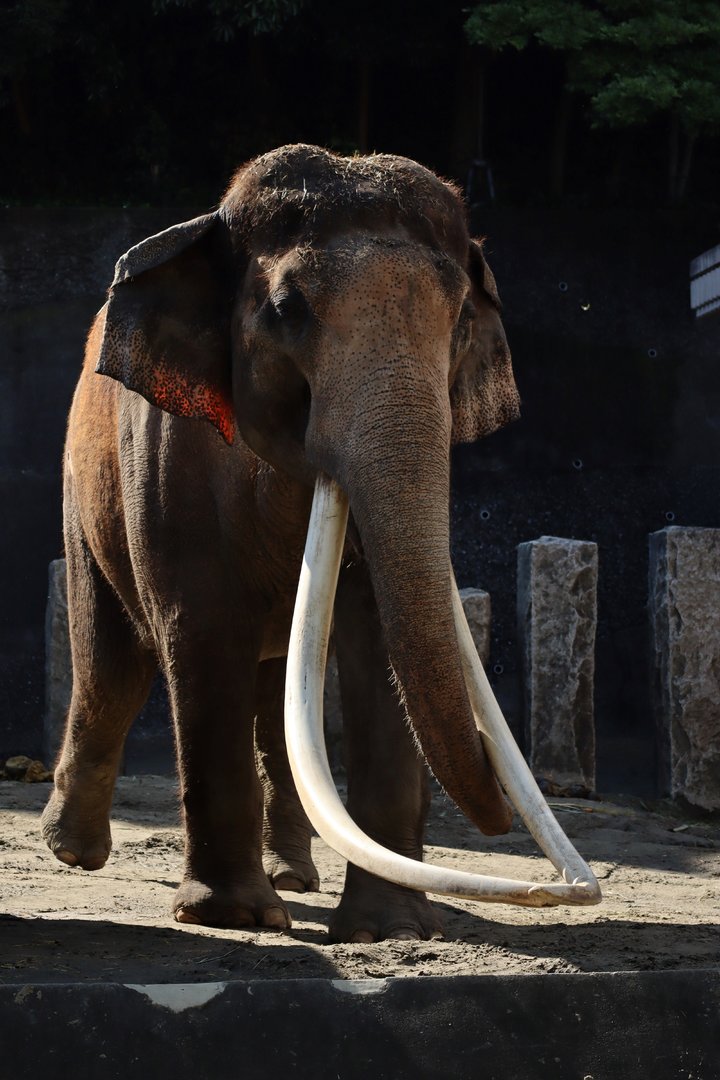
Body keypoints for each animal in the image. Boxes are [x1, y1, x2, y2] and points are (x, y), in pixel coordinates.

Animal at [41, 143, 522, 943]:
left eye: (458, 317)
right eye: (287, 310)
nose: (506, 821)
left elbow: (377, 644)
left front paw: (389, 929)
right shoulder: (172, 462)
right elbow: (200, 633)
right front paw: (234, 917)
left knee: (273, 691)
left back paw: (294, 876)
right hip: (82, 496)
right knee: (111, 663)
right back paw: (73, 853)